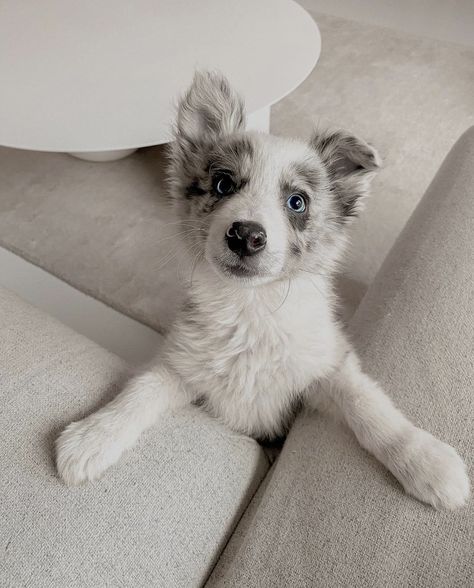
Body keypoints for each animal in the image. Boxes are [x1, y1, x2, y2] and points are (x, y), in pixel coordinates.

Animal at [56, 72, 470, 510]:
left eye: (297, 202)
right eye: (223, 184)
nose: (245, 236)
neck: (250, 307)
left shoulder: (327, 364)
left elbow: (368, 404)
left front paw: (429, 462)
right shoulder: (182, 365)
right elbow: (142, 389)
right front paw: (92, 437)